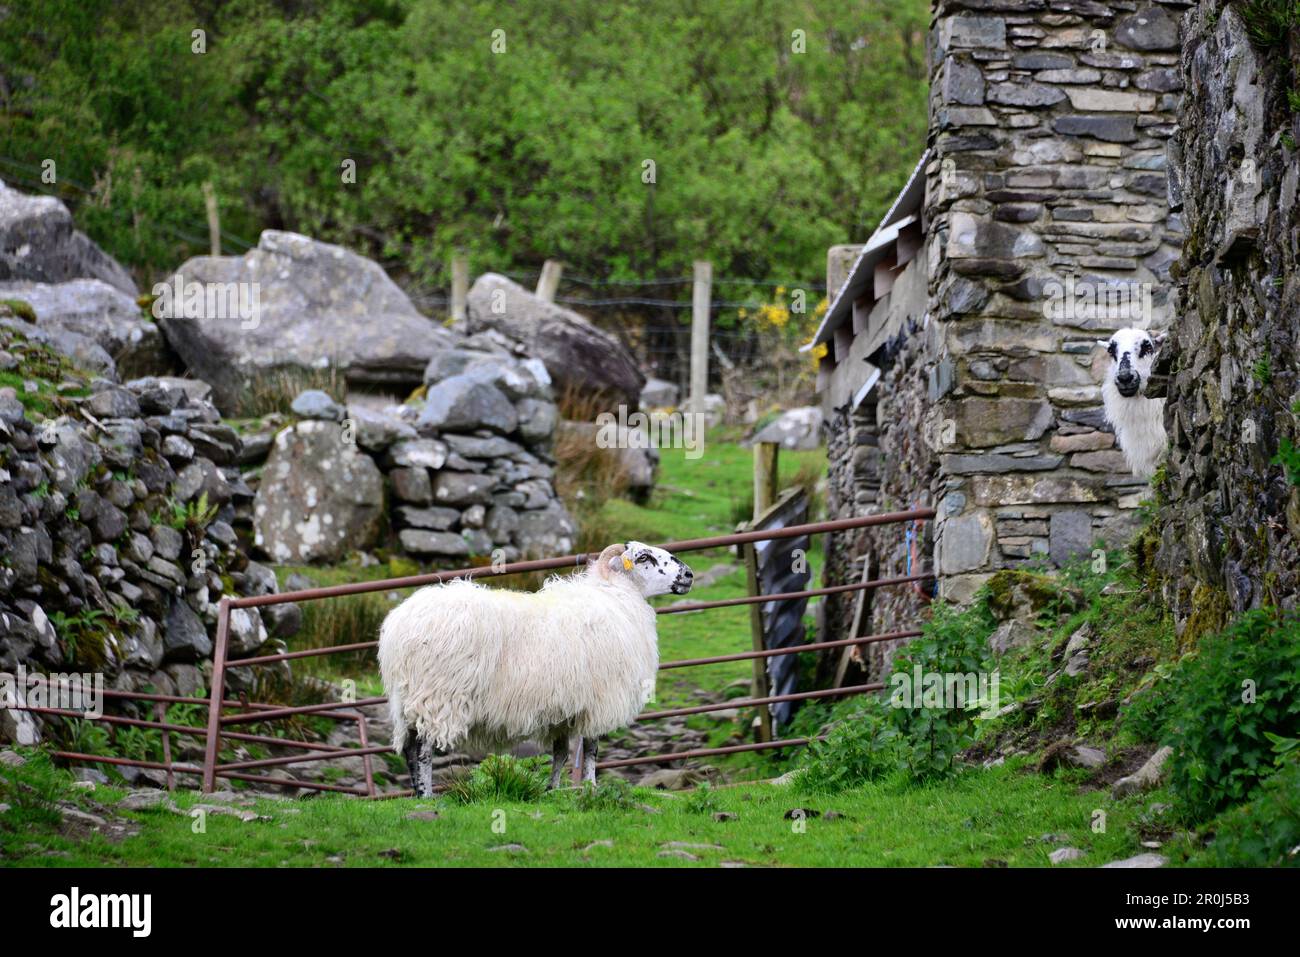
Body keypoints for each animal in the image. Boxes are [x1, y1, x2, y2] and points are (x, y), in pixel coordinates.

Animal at [378, 541, 694, 796]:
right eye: (643, 558)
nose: (689, 575)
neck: (617, 596)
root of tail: (398, 627)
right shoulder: (600, 701)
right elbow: (592, 749)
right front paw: (591, 787)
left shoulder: (564, 709)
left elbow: (560, 753)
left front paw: (552, 790)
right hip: (439, 695)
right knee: (423, 749)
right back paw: (427, 796)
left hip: (407, 698)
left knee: (409, 747)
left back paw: (418, 795)